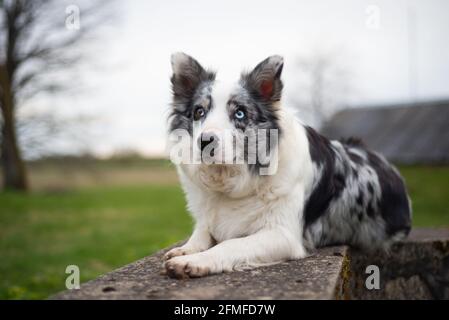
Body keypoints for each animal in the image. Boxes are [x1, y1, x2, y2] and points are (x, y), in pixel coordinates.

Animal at [164, 52, 410, 278]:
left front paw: (195, 261)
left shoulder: (283, 235)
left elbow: (230, 244)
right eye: (199, 112)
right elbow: (202, 232)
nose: (204, 142)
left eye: (240, 113)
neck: (234, 180)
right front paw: (186, 249)